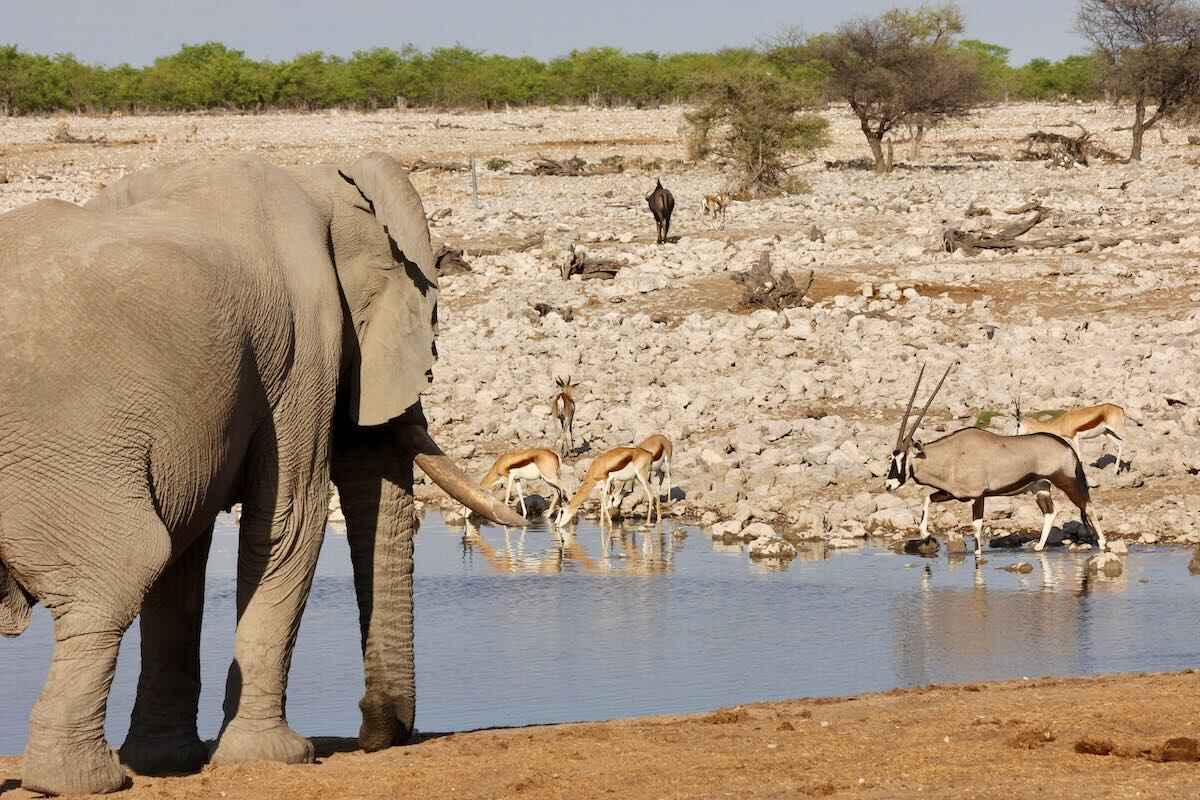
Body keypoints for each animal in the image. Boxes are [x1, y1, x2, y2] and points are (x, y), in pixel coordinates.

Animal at [0, 152, 525, 795]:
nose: (376, 733)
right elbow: (286, 525)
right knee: (120, 570)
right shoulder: (306, 343)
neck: (320, 181)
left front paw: (167, 762)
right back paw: (81, 780)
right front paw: (278, 757)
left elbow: (187, 558)